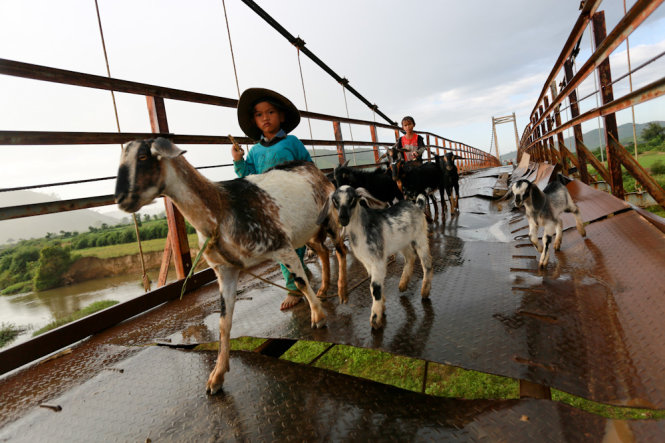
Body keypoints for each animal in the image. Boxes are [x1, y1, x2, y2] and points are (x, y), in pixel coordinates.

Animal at [113, 139, 348, 396]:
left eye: (143, 157)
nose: (121, 199)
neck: (221, 209)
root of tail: (314, 169)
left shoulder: (281, 246)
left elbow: (301, 281)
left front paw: (318, 317)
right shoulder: (225, 270)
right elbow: (224, 322)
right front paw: (216, 377)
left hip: (330, 219)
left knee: (340, 250)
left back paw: (342, 290)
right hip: (307, 233)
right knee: (324, 251)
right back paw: (324, 288)